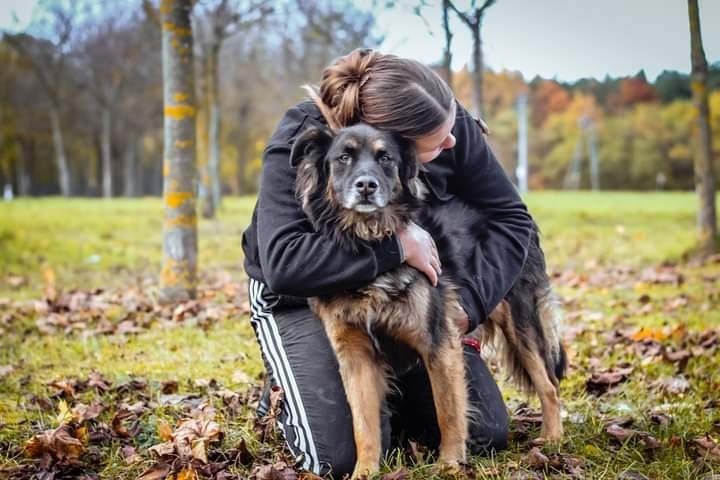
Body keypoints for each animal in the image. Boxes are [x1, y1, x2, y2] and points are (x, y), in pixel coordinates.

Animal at [290, 123, 564, 476]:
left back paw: (553, 439)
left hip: (520, 322)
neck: (371, 240)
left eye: (386, 158)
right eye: (343, 157)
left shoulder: (439, 341)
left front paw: (449, 465)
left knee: (549, 385)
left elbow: (448, 411)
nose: (366, 186)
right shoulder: (355, 355)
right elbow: (363, 426)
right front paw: (365, 472)